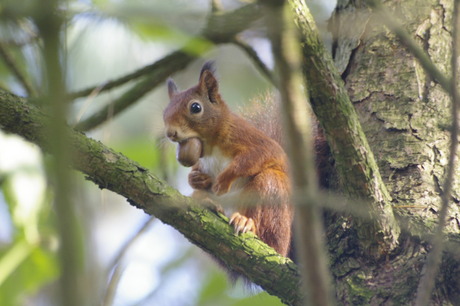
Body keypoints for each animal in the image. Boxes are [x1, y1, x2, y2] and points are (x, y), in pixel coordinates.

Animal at [164, 61, 292, 256]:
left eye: (195, 107)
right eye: (165, 111)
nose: (170, 133)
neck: (209, 146)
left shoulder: (246, 135)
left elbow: (261, 155)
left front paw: (223, 180)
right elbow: (195, 174)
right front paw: (197, 178)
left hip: (272, 198)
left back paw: (246, 222)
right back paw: (208, 203)